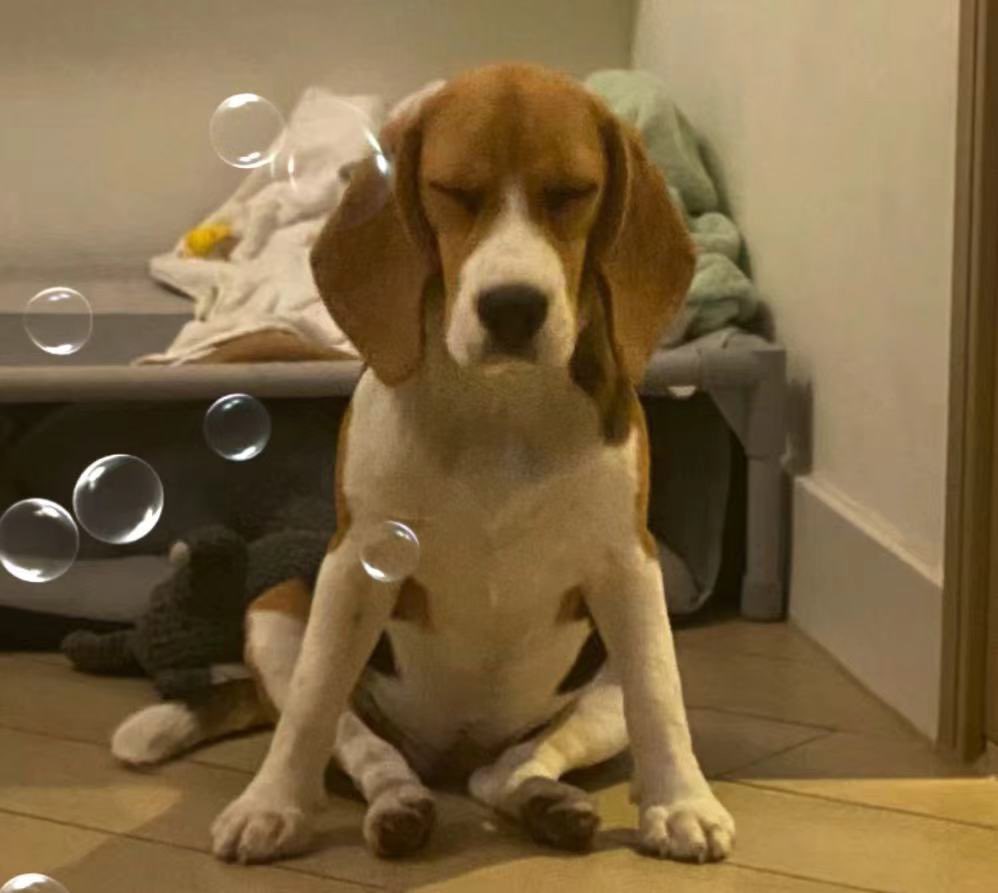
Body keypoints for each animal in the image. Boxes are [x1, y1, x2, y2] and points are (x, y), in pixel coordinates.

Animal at [111, 63, 735, 865]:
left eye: (572, 192)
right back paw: (399, 807)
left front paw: (682, 803)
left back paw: (545, 803)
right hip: (275, 612)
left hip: (597, 687)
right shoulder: (358, 561)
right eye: (453, 191)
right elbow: (312, 707)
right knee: (371, 754)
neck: (499, 405)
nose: (513, 308)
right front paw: (271, 804)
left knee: (509, 768)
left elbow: (660, 696)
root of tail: (451, 751)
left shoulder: (629, 564)